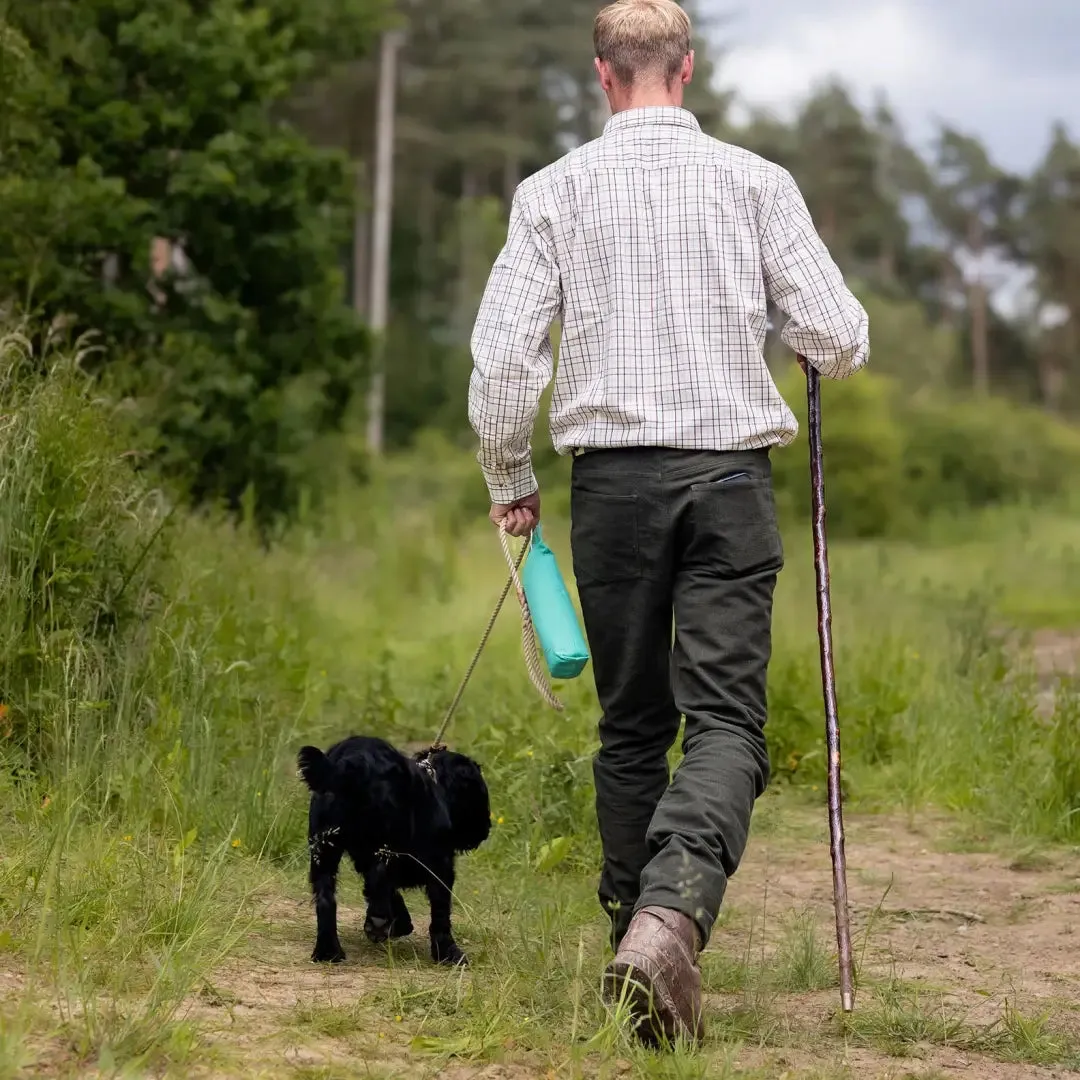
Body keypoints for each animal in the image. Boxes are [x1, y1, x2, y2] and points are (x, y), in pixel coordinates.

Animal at [300, 738, 494, 967]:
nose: (487, 828)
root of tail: (352, 766)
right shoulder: (440, 864)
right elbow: (440, 911)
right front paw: (448, 952)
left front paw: (402, 922)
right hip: (384, 844)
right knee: (378, 880)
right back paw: (377, 925)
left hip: (324, 849)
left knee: (326, 898)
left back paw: (328, 951)